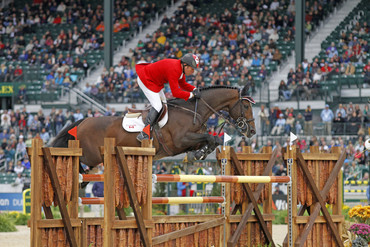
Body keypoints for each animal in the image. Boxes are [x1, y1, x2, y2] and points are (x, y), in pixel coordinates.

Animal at [51, 85, 254, 170]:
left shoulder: (189, 141)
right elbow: (212, 137)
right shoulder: (180, 140)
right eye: (245, 106)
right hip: (91, 156)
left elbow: (213, 139)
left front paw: (199, 154)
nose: (252, 131)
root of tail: (83, 122)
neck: (193, 111)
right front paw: (199, 154)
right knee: (75, 160)